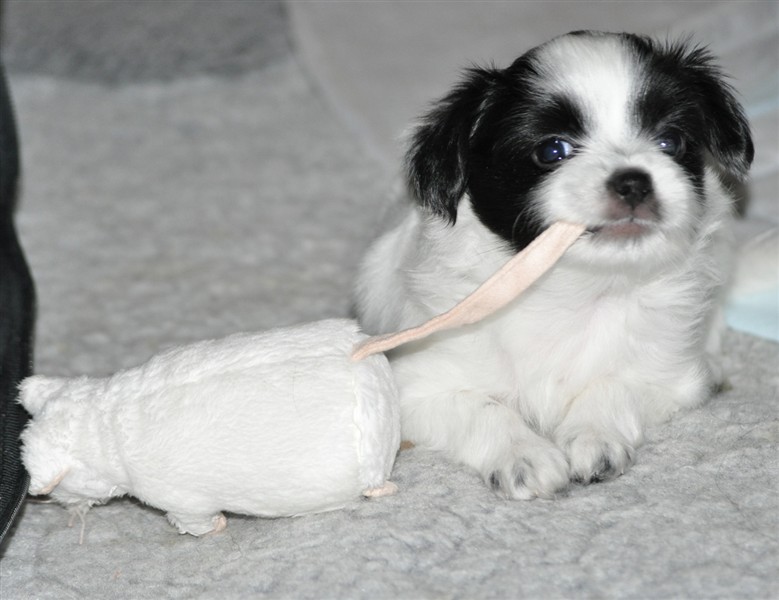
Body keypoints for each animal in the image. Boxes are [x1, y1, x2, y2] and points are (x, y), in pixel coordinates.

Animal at [354, 31, 753, 499]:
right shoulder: (419, 388)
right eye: (552, 150)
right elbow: (483, 408)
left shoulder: (668, 379)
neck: (574, 288)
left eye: (670, 142)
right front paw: (525, 456)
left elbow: (613, 385)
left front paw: (594, 435)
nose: (633, 180)